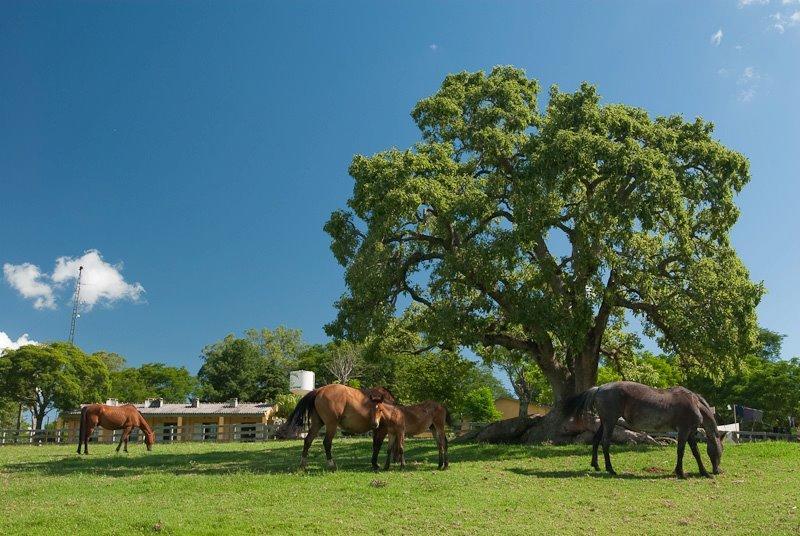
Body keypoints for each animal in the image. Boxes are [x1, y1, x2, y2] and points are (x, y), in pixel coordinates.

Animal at [564, 382, 728, 478]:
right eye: (722, 449)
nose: (717, 470)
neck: (694, 403)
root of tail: (599, 388)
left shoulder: (690, 433)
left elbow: (696, 452)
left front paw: (704, 472)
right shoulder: (684, 430)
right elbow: (681, 451)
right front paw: (680, 473)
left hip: (604, 422)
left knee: (596, 440)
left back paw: (596, 465)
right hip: (610, 421)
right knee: (605, 443)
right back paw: (610, 469)